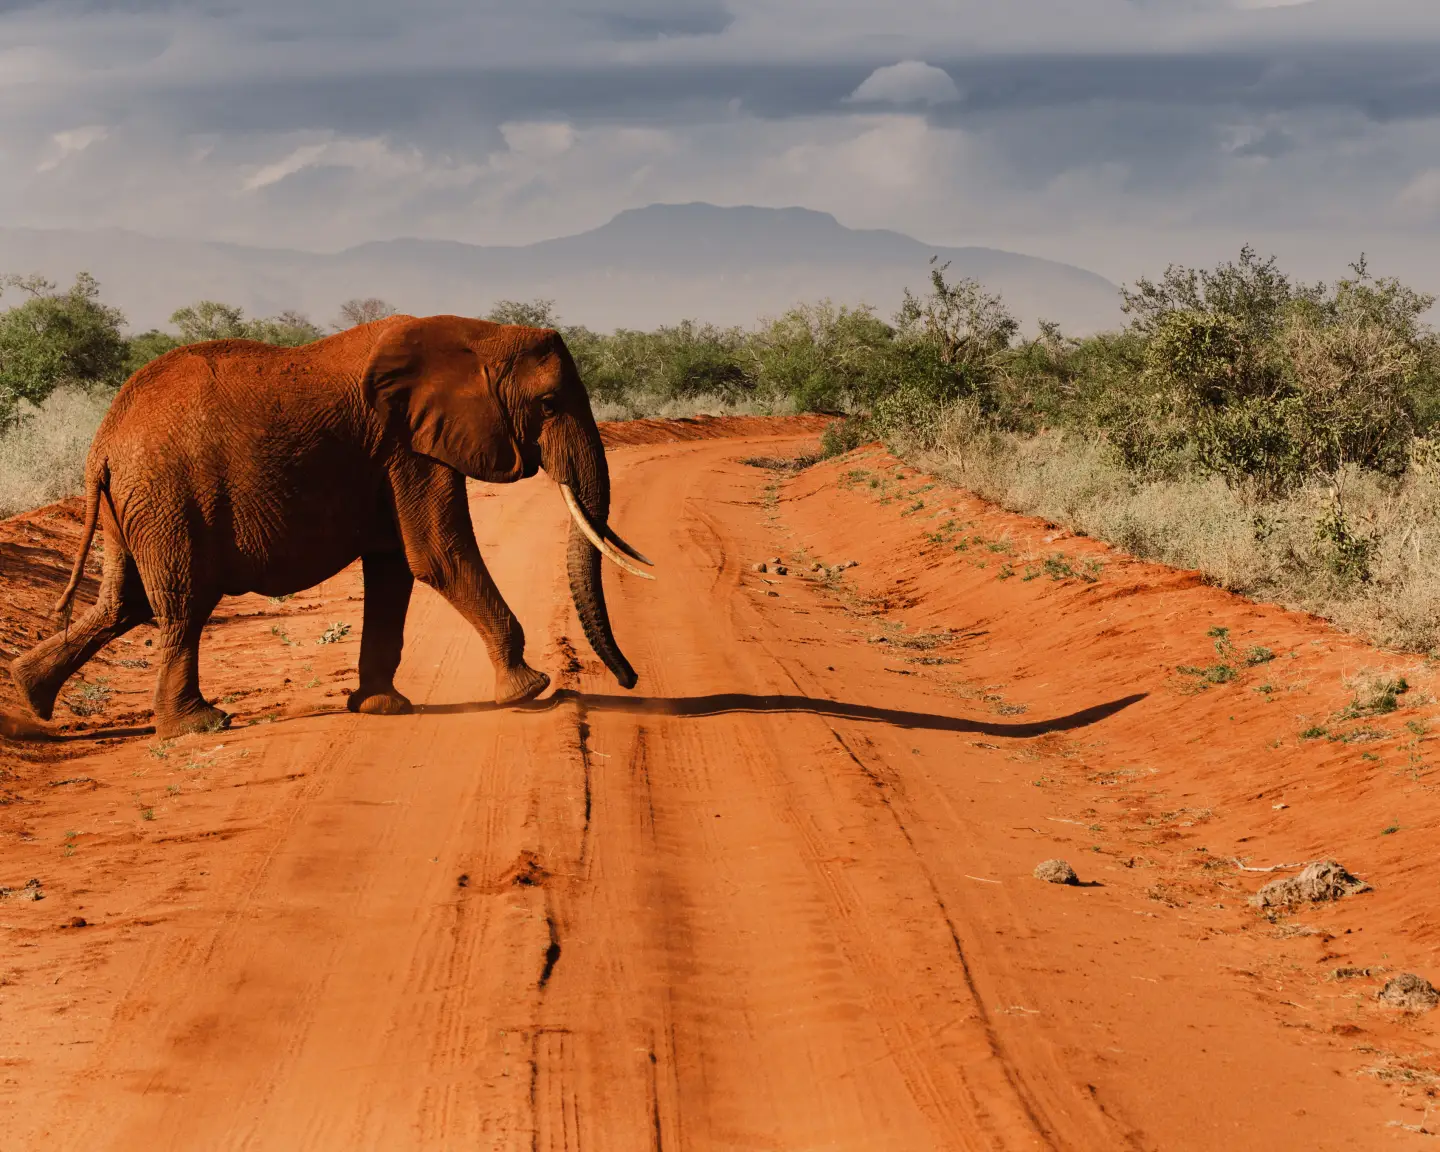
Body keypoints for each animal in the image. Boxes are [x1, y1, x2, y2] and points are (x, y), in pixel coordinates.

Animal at [9, 314, 654, 738]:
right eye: (548, 404)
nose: (631, 681)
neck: (477, 334)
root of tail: (102, 445)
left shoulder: (395, 452)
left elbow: (395, 568)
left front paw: (380, 708)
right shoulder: (407, 446)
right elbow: (437, 555)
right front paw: (532, 689)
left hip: (137, 503)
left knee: (125, 602)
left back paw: (28, 703)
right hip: (168, 494)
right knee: (182, 602)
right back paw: (199, 726)